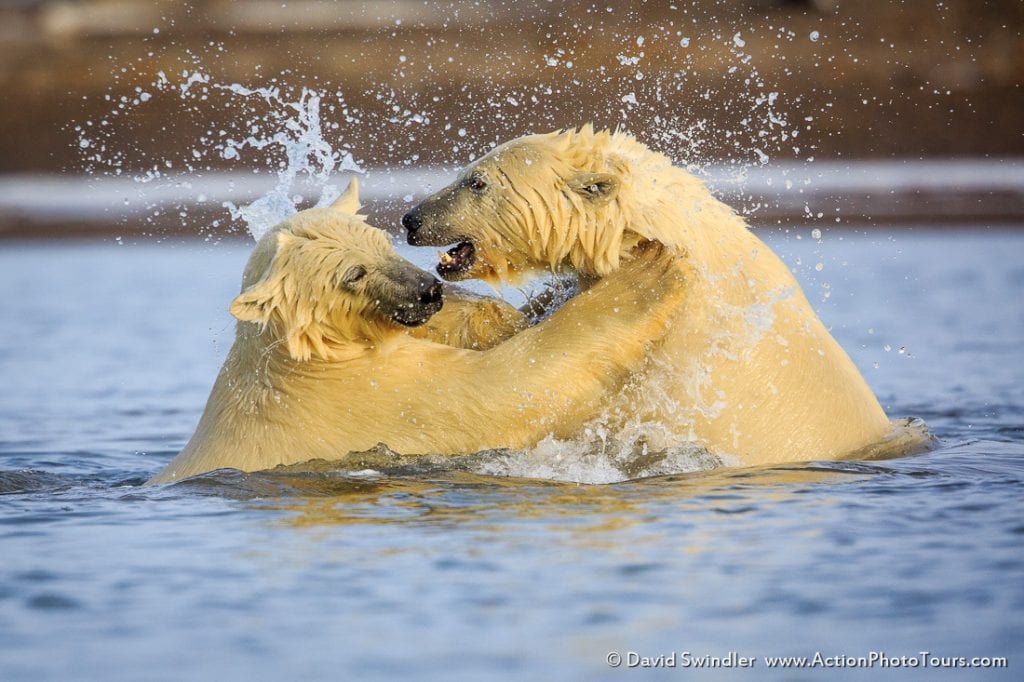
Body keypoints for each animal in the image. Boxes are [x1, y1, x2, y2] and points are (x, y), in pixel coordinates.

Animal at [146, 178, 688, 481]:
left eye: (379, 242)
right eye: (354, 274)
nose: (428, 290)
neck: (306, 359)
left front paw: (504, 313)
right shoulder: (369, 398)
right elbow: (504, 389)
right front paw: (649, 269)